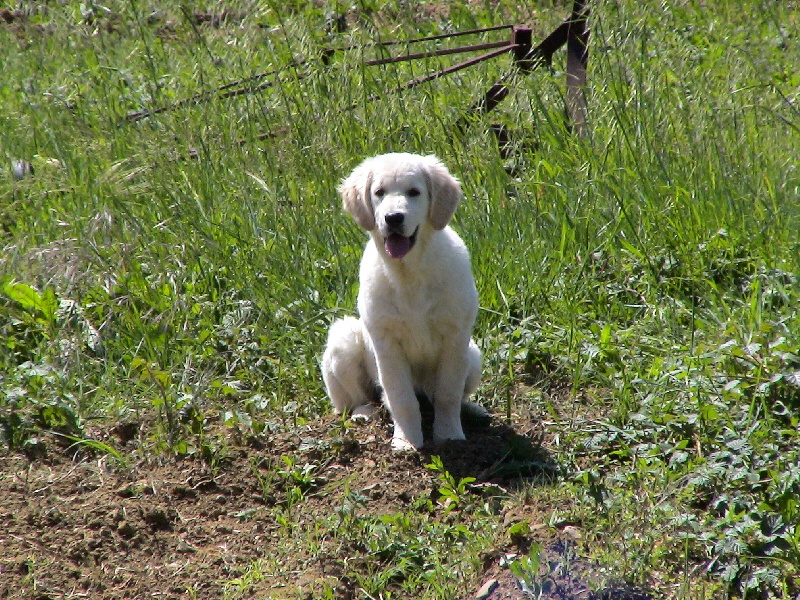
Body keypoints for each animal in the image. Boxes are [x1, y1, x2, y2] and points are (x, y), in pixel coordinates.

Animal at [320, 152, 488, 448]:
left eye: (414, 192)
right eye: (379, 192)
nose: (393, 218)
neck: (409, 273)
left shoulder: (455, 336)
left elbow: (448, 393)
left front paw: (449, 435)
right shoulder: (387, 343)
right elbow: (401, 398)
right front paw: (407, 441)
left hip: (473, 354)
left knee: (446, 396)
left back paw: (473, 411)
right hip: (343, 340)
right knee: (354, 402)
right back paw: (364, 412)